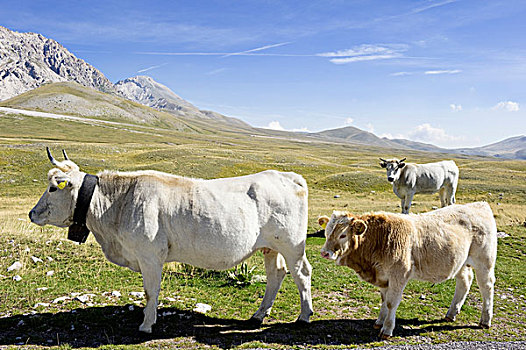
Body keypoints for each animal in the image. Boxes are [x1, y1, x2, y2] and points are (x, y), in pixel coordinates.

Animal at [29, 148, 314, 334]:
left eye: (53, 187)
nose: (32, 213)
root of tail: (287, 176)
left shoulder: (149, 255)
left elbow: (150, 290)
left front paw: (146, 324)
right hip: (270, 247)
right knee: (276, 274)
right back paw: (258, 315)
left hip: (292, 244)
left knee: (301, 273)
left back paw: (304, 316)